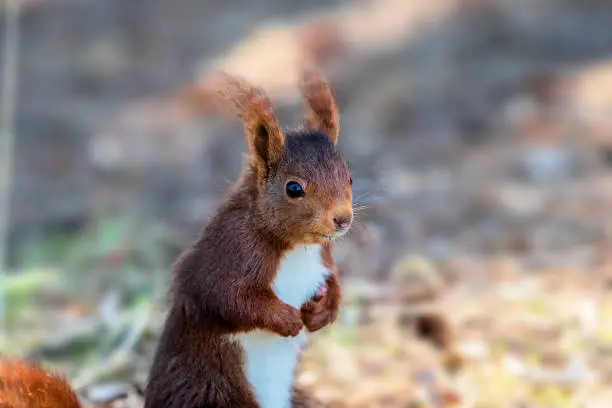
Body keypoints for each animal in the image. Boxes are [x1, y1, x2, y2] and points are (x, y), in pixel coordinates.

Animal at [145, 67, 354, 408]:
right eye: (293, 188)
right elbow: (226, 296)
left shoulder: (322, 255)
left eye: (349, 177)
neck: (296, 247)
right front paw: (287, 319)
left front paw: (323, 311)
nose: (343, 219)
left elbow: (333, 280)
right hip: (217, 391)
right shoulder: (231, 249)